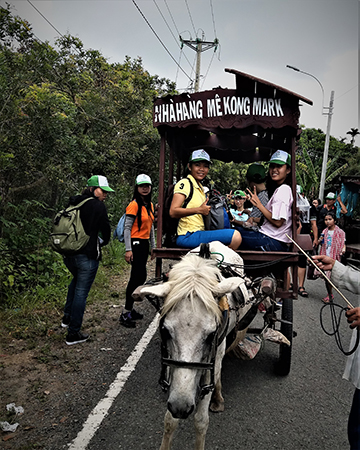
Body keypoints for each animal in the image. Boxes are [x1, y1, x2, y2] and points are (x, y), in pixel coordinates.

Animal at [141, 243, 253, 450]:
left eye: (210, 334)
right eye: (165, 330)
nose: (181, 407)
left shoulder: (214, 354)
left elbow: (201, 421)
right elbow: (170, 420)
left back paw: (217, 397)